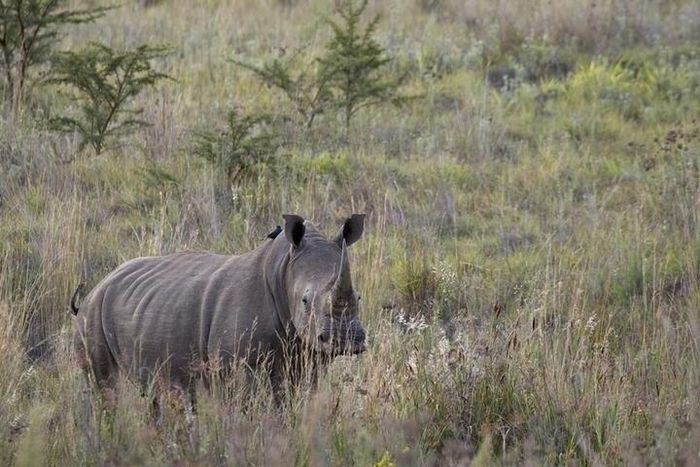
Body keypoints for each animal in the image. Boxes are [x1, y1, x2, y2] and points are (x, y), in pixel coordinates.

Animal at [72, 214, 366, 403]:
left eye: (360, 298)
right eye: (305, 301)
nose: (345, 340)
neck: (283, 269)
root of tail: (97, 286)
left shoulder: (308, 358)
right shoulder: (235, 367)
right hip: (91, 316)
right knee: (108, 389)